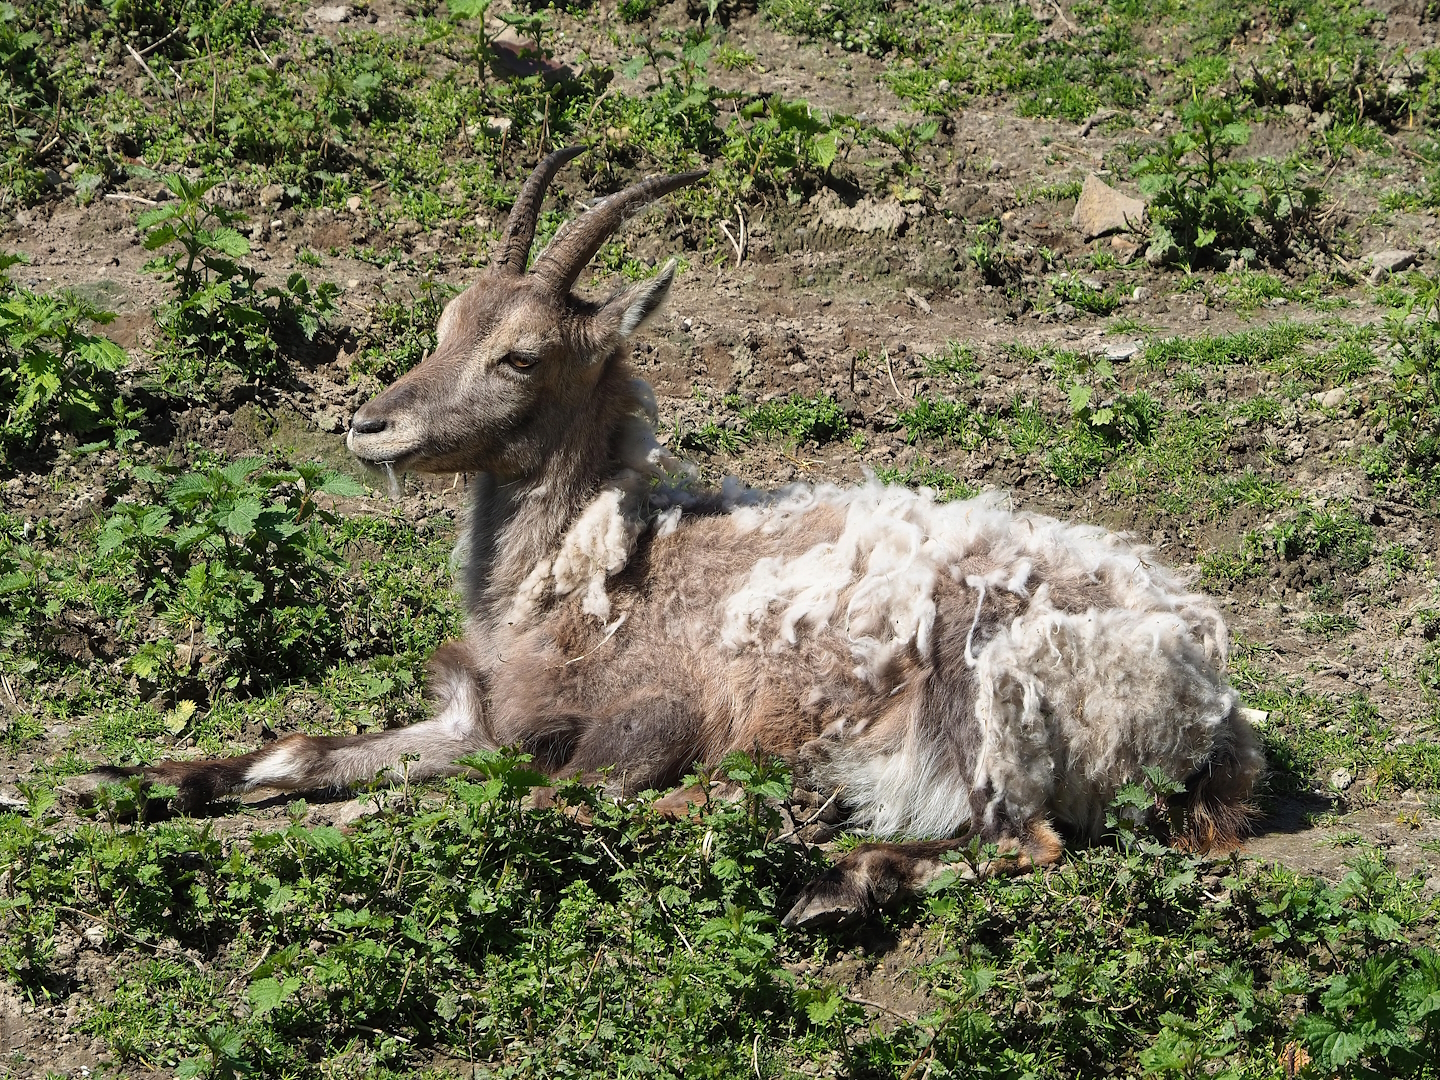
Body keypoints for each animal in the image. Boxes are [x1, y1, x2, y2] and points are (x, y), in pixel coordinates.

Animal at [84, 149, 1264, 927]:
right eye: (445, 325)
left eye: (520, 355)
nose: (370, 425)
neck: (590, 575)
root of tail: (1212, 708)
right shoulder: (483, 718)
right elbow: (305, 751)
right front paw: (118, 781)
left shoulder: (648, 717)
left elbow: (552, 794)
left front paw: (366, 825)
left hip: (987, 705)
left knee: (1025, 841)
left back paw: (829, 882)